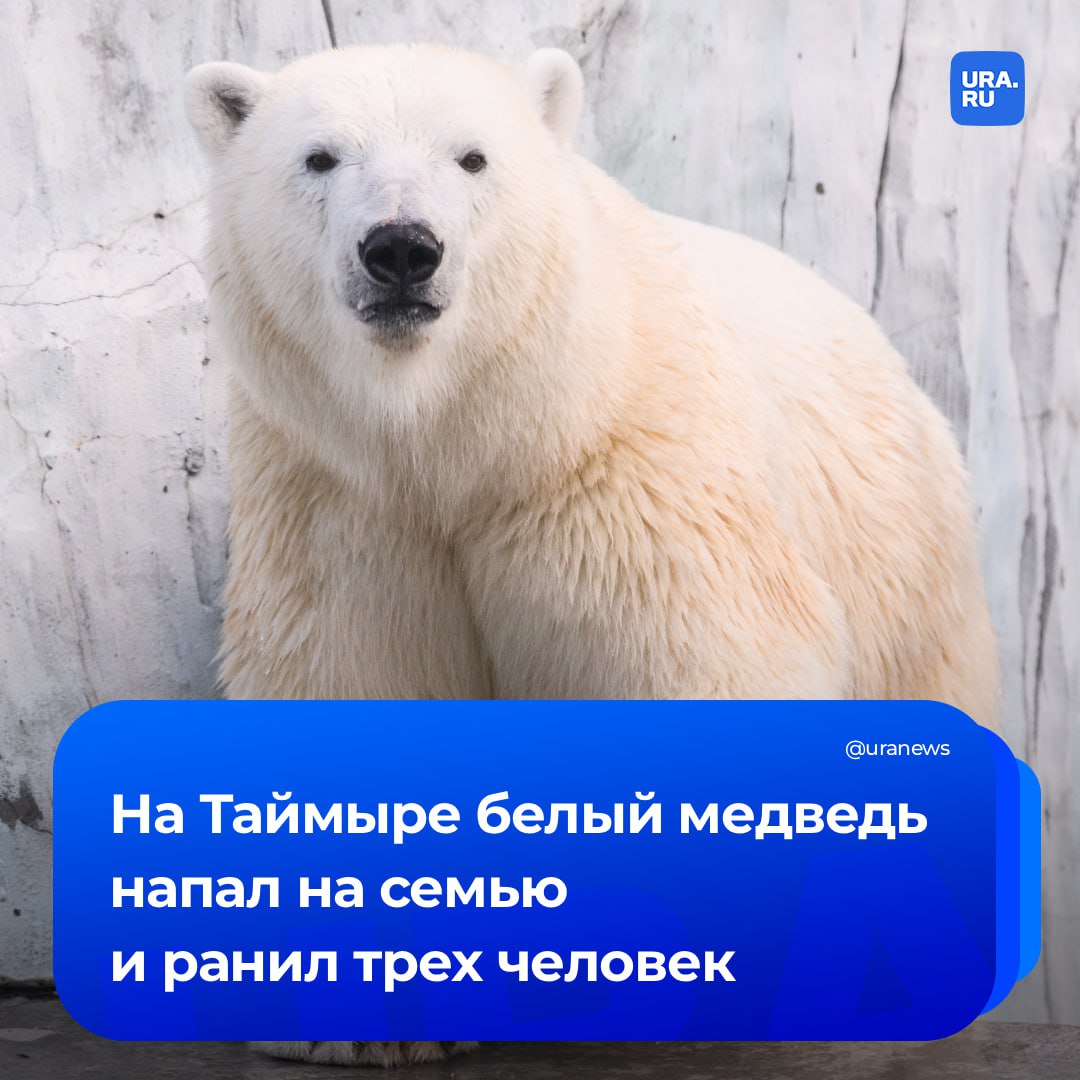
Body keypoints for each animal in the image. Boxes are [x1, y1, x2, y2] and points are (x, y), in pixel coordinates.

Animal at [184, 44, 999, 1067]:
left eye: (473, 157)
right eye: (320, 157)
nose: (402, 248)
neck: (462, 442)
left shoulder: (620, 476)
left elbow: (694, 667)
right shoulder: (343, 501)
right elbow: (353, 685)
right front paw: (364, 1021)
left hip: (904, 561)